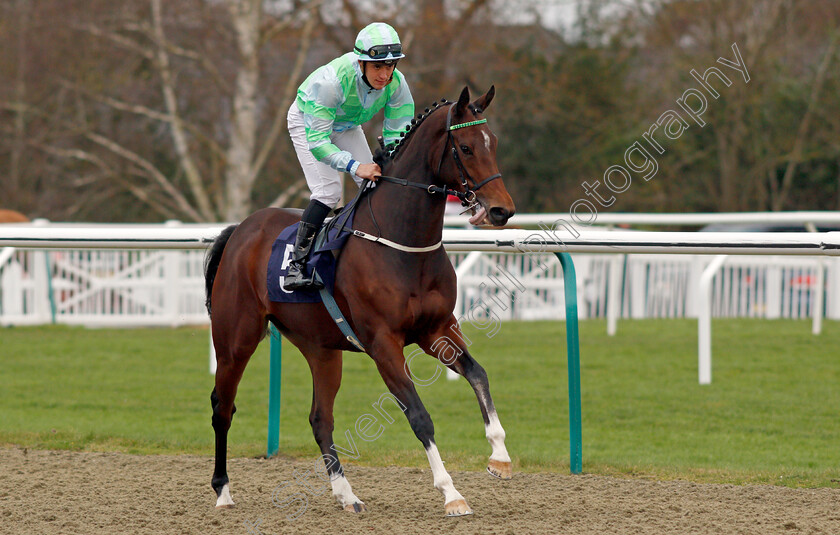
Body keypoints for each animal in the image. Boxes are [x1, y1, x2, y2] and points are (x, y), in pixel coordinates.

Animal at [207, 86, 516, 516]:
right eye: (467, 148)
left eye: (495, 143)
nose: (502, 210)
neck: (404, 245)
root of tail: (240, 230)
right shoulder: (383, 342)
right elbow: (419, 415)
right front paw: (451, 493)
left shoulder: (436, 329)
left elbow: (478, 374)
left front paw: (499, 457)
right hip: (236, 338)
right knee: (223, 407)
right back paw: (222, 491)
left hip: (321, 349)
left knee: (320, 418)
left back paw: (346, 494)